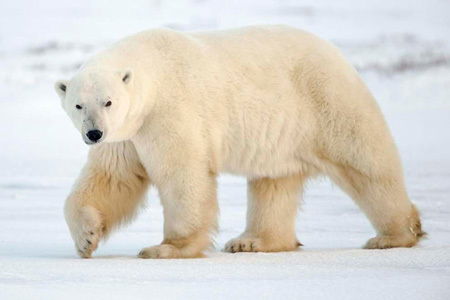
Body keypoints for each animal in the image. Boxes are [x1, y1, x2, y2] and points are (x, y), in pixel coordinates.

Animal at [54, 25, 424, 258]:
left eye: (108, 101)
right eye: (78, 105)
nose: (93, 133)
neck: (153, 72)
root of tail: (338, 55)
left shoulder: (168, 112)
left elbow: (182, 175)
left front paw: (167, 248)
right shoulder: (128, 133)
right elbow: (113, 178)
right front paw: (86, 239)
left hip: (326, 100)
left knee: (367, 164)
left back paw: (394, 235)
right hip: (283, 134)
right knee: (273, 183)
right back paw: (253, 242)